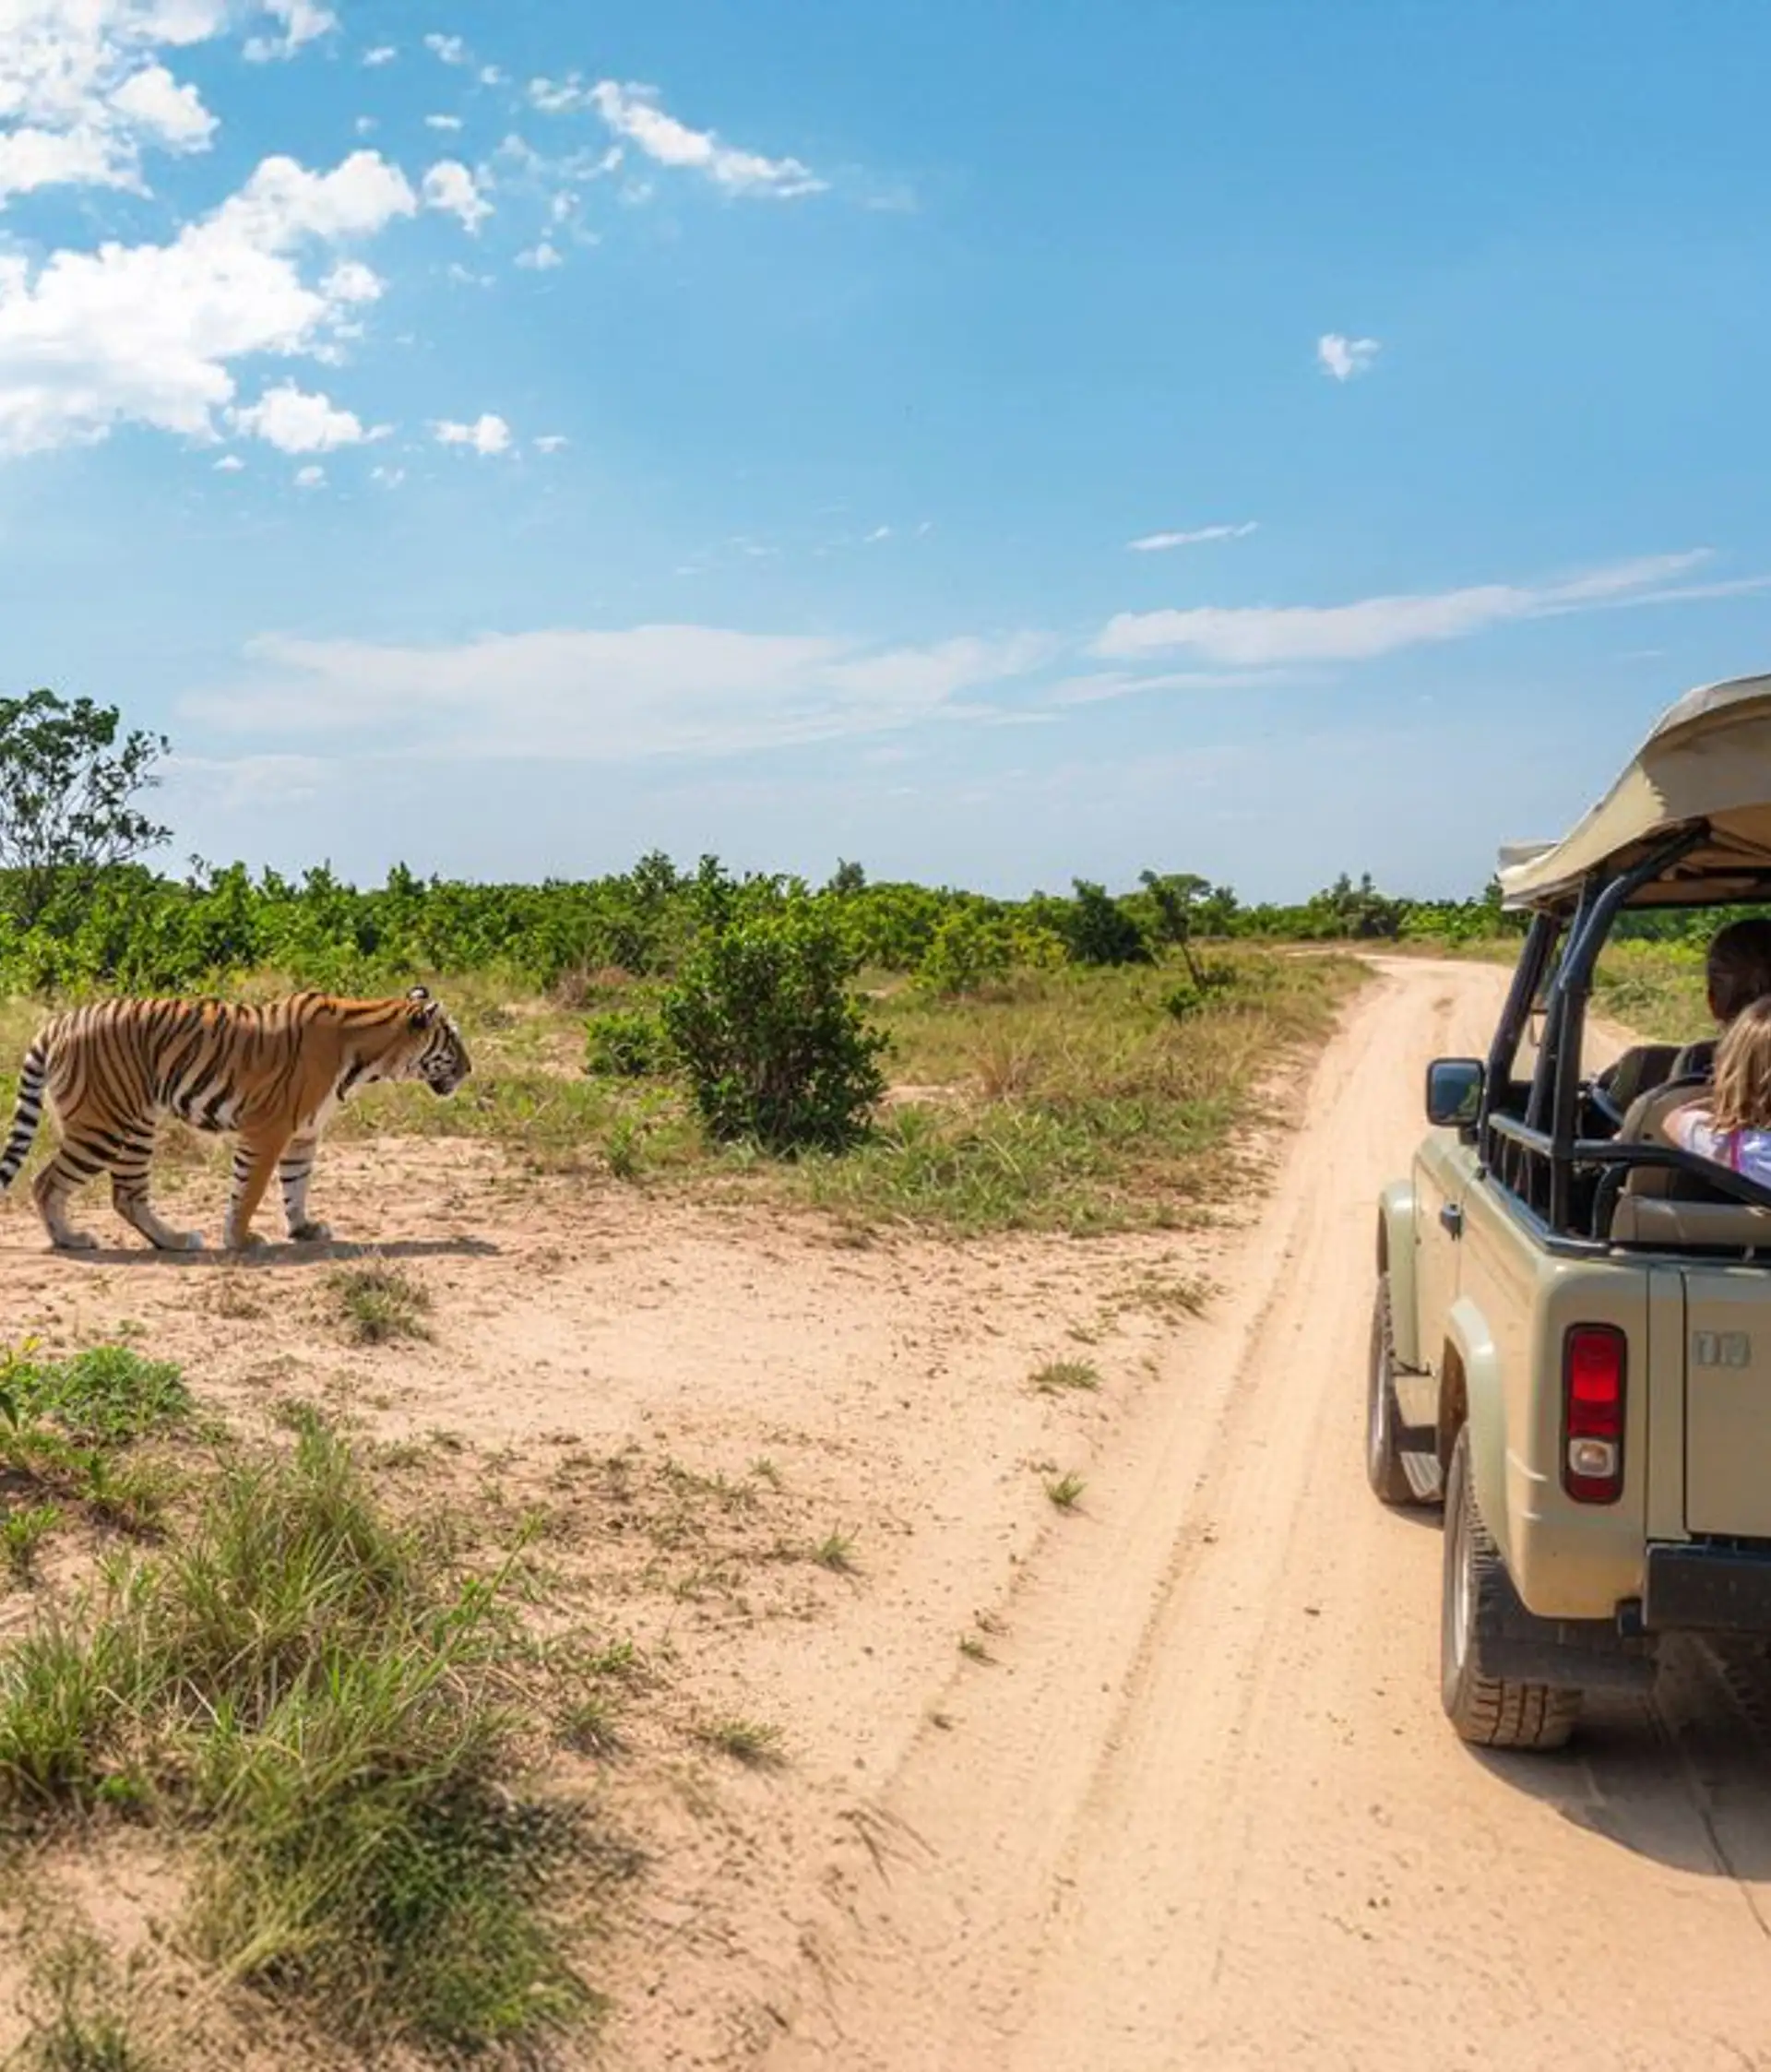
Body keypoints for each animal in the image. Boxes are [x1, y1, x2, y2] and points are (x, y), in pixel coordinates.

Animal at [0, 986, 471, 1254]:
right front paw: (241, 1240)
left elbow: (296, 1185)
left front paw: (303, 1229)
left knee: (127, 1195)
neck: (368, 1058)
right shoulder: (268, 1129)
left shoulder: (304, 1133)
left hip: (136, 1125)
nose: (469, 1069)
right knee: (47, 1183)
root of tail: (59, 1022)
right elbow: (250, 1190)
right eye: (453, 1040)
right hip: (104, 1125)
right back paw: (71, 1240)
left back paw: (173, 1241)